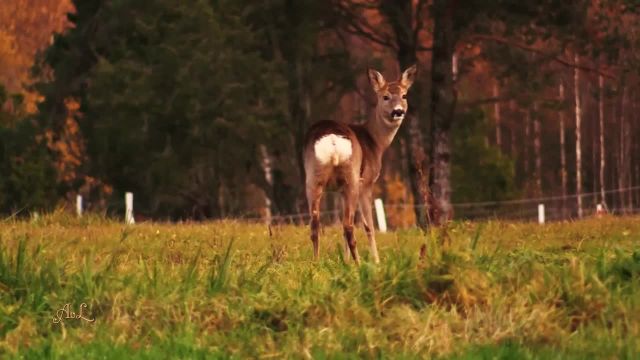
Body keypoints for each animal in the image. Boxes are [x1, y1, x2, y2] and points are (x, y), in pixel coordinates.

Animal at [302, 64, 418, 262]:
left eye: (404, 95)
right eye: (385, 96)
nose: (398, 111)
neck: (375, 142)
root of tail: (332, 139)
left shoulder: (339, 189)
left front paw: (345, 261)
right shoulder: (368, 182)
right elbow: (369, 226)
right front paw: (376, 261)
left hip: (313, 176)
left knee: (316, 222)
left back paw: (316, 262)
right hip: (353, 178)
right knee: (349, 225)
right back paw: (359, 263)